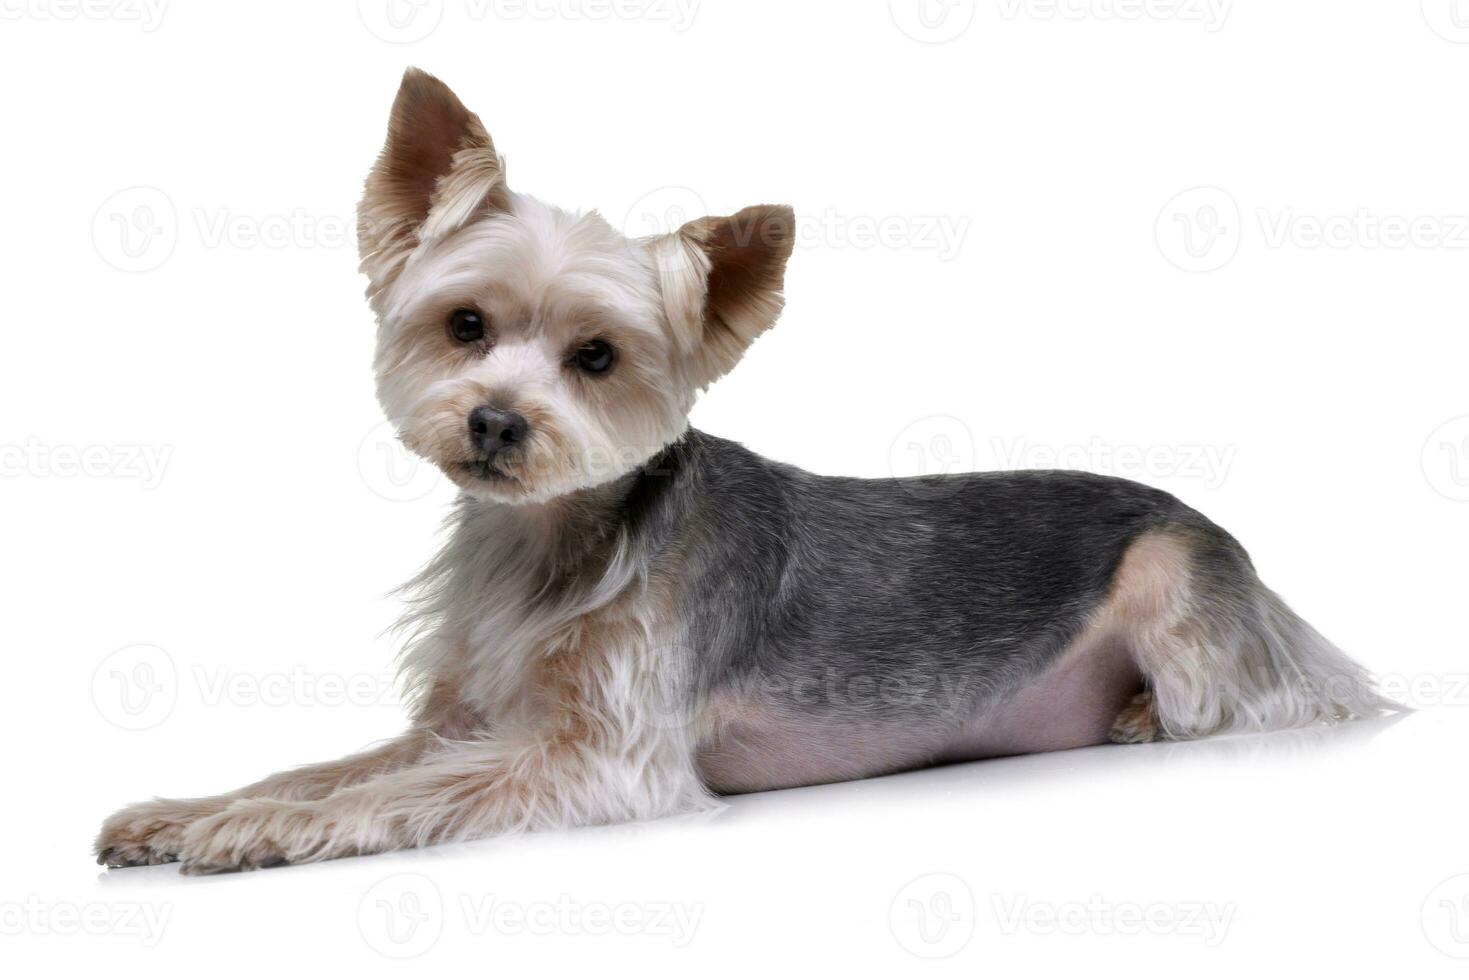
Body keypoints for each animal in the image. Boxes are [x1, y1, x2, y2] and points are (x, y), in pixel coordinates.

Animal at [97, 70, 1392, 875]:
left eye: (597, 356)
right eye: (465, 325)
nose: (497, 424)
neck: (551, 539)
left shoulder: (598, 755)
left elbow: (388, 794)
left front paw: (251, 831)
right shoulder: (471, 712)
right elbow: (332, 763)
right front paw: (190, 809)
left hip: (1180, 583)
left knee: (1255, 699)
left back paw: (1138, 715)